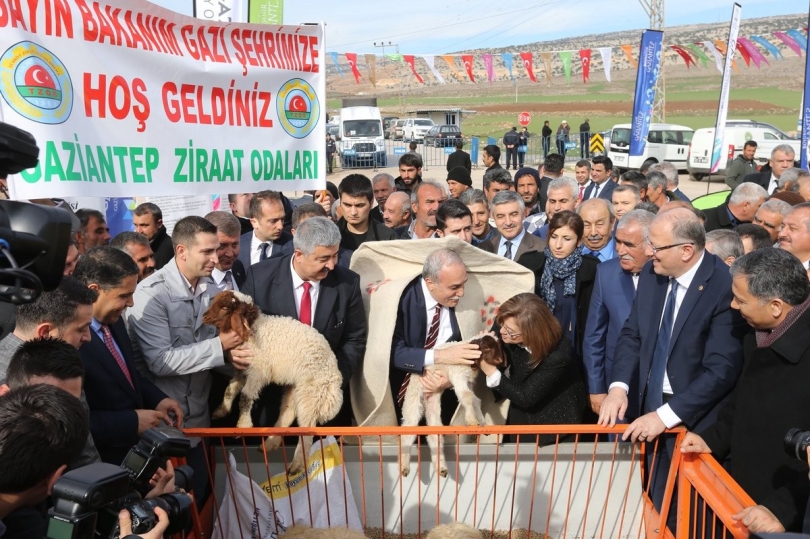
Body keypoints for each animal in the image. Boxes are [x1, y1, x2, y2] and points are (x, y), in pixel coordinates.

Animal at [204, 288, 342, 474]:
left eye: (225, 308)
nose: (204, 317)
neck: (254, 328)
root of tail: (334, 377)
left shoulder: (258, 372)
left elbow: (245, 397)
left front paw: (243, 426)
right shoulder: (243, 369)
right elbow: (230, 389)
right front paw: (221, 411)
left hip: (311, 392)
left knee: (307, 427)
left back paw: (296, 465)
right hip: (295, 388)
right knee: (288, 412)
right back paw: (269, 443)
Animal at [400, 336, 504, 478]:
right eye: (487, 347)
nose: (500, 361)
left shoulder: (468, 381)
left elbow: (475, 400)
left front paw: (482, 423)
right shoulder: (458, 375)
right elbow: (467, 397)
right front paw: (472, 421)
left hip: (432, 401)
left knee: (434, 433)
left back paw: (441, 468)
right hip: (413, 399)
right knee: (408, 429)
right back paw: (404, 467)